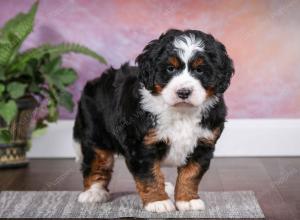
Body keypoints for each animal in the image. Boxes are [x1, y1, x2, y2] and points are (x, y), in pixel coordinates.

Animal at [73, 29, 234, 213]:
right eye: (170, 69)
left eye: (200, 70)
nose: (183, 92)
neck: (181, 112)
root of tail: (95, 82)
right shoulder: (142, 145)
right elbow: (149, 175)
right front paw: (158, 201)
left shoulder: (203, 144)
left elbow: (191, 174)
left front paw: (187, 200)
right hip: (95, 135)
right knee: (96, 162)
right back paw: (94, 192)